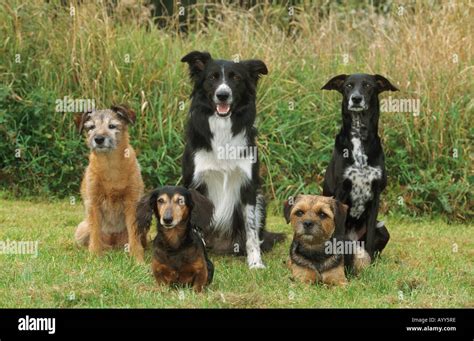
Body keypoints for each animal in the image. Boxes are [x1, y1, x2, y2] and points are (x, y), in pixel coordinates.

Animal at [72, 105, 144, 262]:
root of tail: (113, 242)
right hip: (81, 229)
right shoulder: (93, 203)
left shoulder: (132, 203)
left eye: (112, 126)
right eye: (91, 127)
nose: (99, 139)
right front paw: (94, 257)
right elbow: (95, 233)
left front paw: (138, 259)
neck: (110, 165)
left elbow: (134, 236)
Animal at [181, 50, 286, 268]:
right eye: (212, 78)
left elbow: (252, 232)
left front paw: (255, 264)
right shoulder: (195, 184)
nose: (223, 95)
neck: (222, 127)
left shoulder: (248, 187)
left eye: (235, 78)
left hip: (261, 199)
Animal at [320, 72, 398, 258]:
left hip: (383, 229)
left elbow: (369, 239)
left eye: (368, 85)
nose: (356, 98)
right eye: (348, 85)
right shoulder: (340, 193)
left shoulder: (375, 196)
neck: (359, 136)